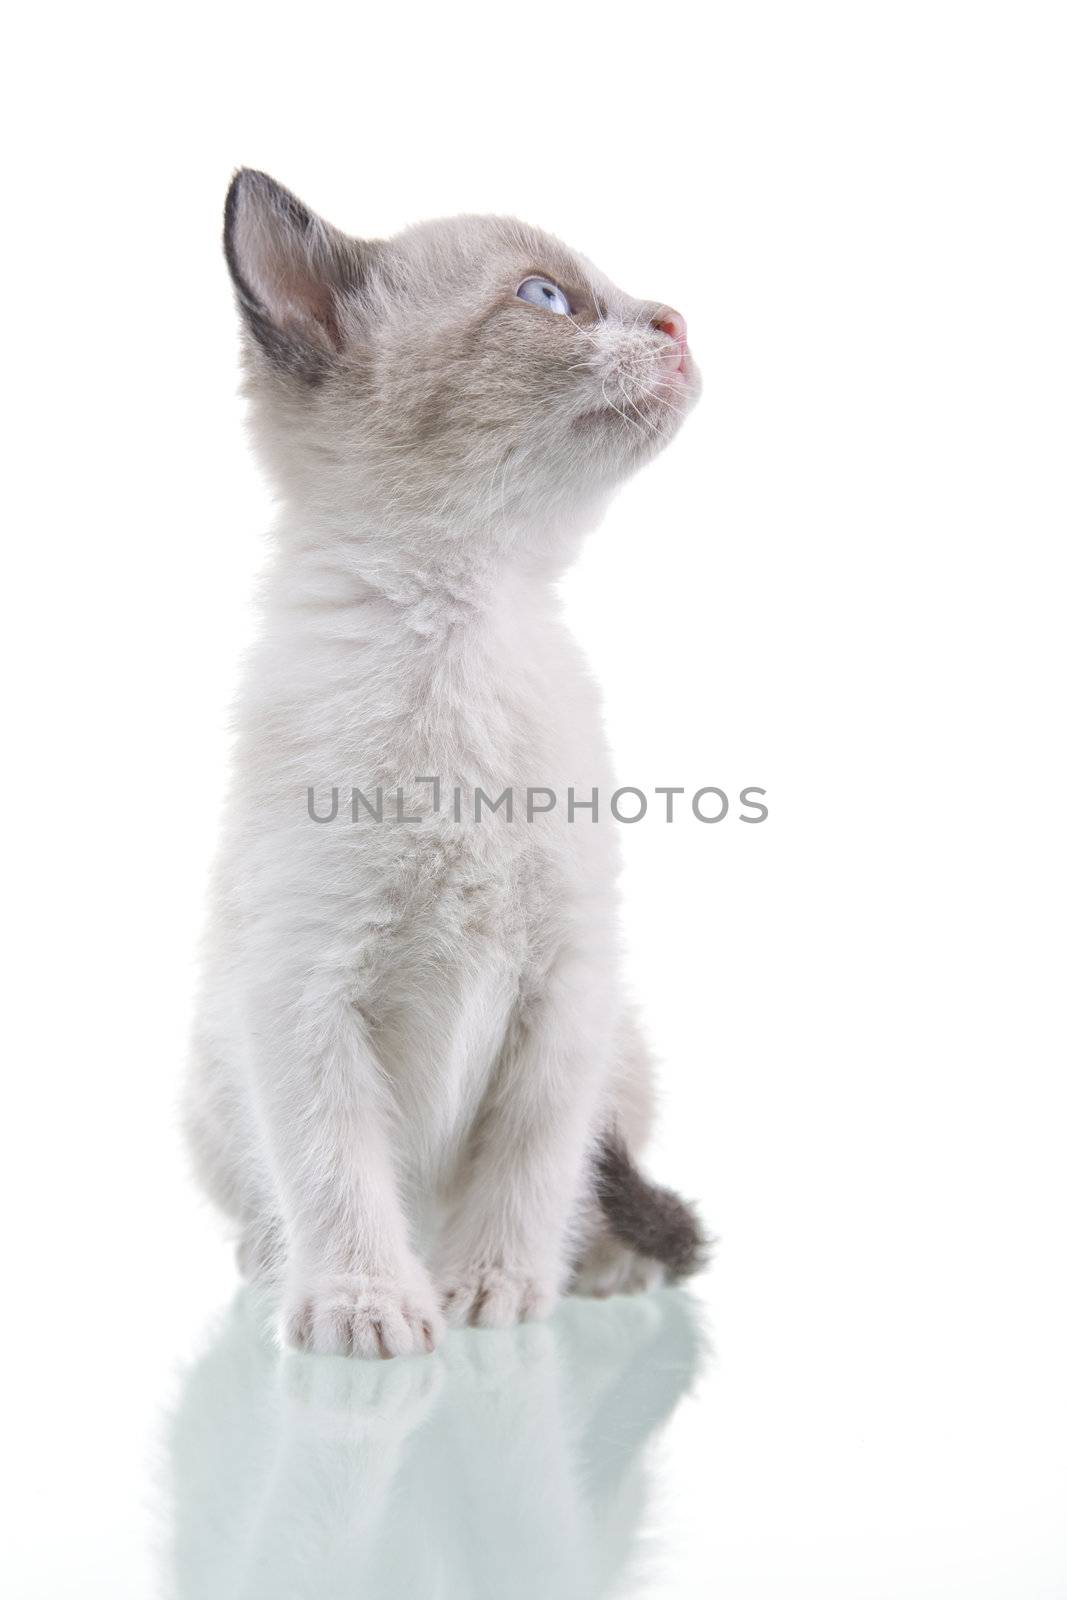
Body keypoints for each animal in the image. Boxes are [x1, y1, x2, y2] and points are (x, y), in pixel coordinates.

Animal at [187, 168, 710, 1356]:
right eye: (545, 297)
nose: (675, 322)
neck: (462, 629)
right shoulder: (299, 985)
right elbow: (333, 1162)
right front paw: (363, 1305)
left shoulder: (567, 987)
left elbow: (530, 1155)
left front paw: (493, 1288)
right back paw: (275, 1266)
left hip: (626, 1053)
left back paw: (594, 1267)